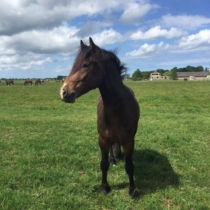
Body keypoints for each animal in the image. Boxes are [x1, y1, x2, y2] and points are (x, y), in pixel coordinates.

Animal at [60, 37, 140, 197]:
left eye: (85, 65)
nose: (64, 92)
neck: (118, 108)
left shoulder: (129, 141)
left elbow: (129, 165)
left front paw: (132, 189)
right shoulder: (102, 139)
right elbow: (103, 164)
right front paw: (104, 187)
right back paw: (113, 160)